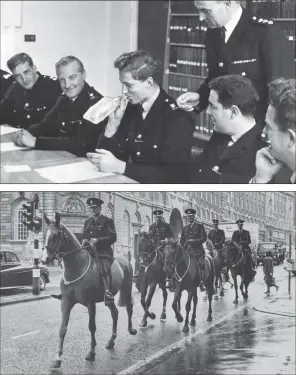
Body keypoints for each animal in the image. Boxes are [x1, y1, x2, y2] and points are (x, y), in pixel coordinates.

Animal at [44, 214, 137, 370]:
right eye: (45, 233)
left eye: (55, 235)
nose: (44, 259)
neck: (77, 267)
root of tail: (125, 259)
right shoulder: (66, 302)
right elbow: (62, 329)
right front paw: (57, 358)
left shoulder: (90, 303)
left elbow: (92, 327)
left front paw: (91, 352)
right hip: (109, 297)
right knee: (115, 313)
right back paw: (111, 341)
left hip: (127, 288)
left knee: (129, 308)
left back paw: (131, 330)